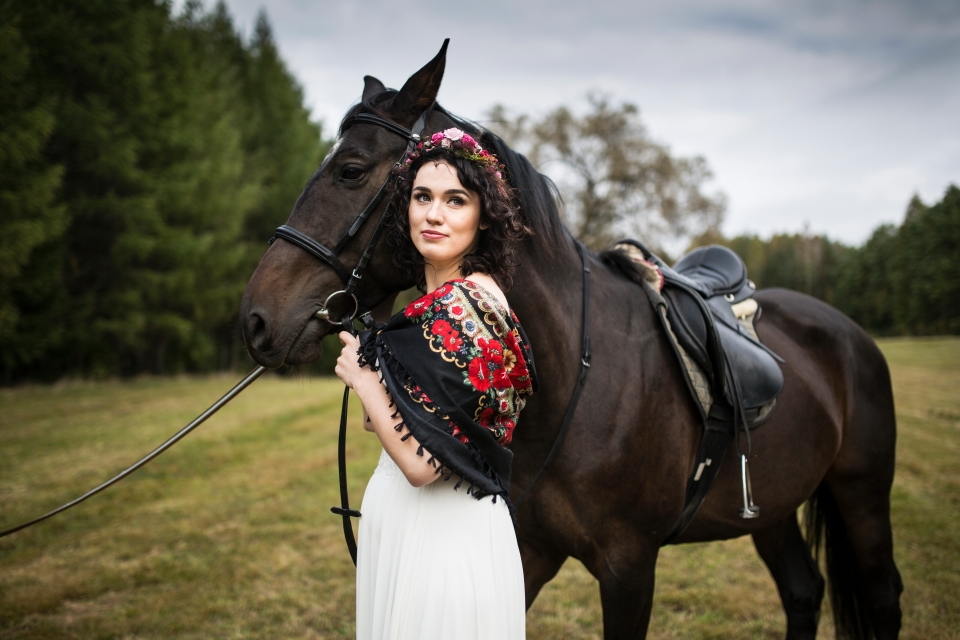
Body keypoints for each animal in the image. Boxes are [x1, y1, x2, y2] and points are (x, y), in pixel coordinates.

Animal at [238, 45, 900, 640]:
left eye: (350, 170)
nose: (254, 319)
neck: (575, 377)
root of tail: (847, 333)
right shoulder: (527, 552)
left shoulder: (630, 569)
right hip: (775, 507)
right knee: (802, 591)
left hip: (862, 494)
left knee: (883, 596)